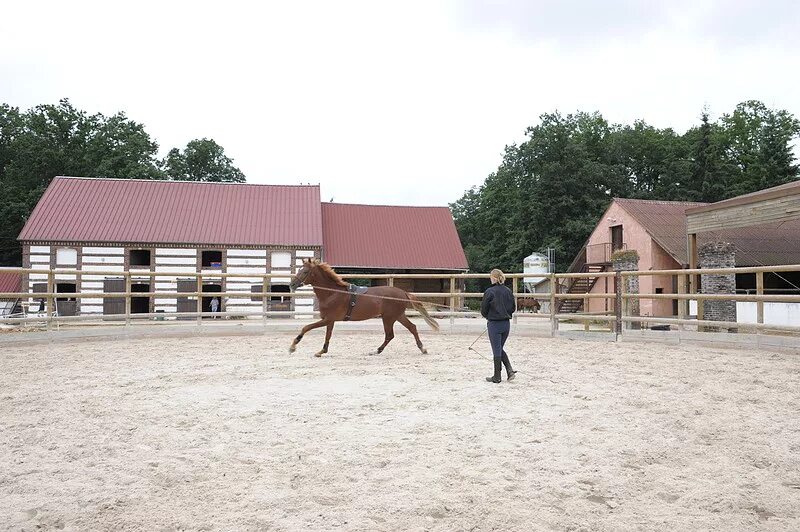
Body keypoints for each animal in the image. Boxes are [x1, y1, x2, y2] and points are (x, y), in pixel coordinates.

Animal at [288, 258, 440, 358]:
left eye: (305, 271)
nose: (292, 285)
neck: (332, 293)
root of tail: (403, 293)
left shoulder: (328, 319)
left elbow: (306, 327)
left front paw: (293, 346)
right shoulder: (330, 320)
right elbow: (327, 336)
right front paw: (321, 352)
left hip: (389, 318)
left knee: (390, 335)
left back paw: (377, 350)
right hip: (398, 316)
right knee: (412, 328)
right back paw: (422, 348)